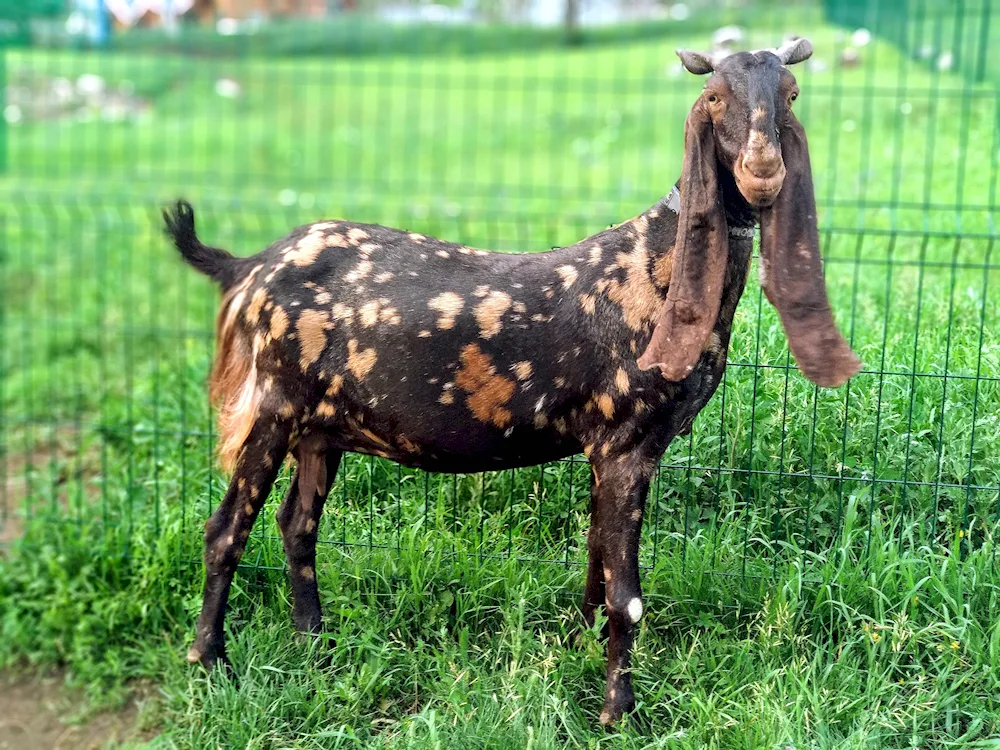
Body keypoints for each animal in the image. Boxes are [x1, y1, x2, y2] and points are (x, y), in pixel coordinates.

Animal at [164, 38, 860, 724]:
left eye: (792, 94)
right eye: (714, 96)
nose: (763, 171)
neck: (655, 275)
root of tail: (249, 267)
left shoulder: (609, 447)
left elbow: (595, 556)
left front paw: (580, 642)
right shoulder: (627, 441)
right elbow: (627, 595)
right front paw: (620, 713)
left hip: (321, 428)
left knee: (297, 524)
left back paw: (316, 642)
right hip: (273, 405)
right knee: (226, 529)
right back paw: (212, 661)